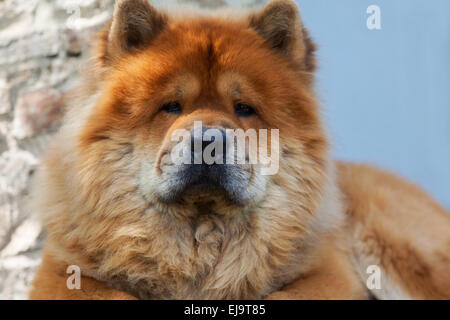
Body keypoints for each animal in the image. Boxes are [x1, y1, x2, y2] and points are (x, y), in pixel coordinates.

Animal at [29, 0, 448, 300]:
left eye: (244, 108)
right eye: (171, 107)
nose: (208, 140)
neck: (203, 237)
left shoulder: (327, 272)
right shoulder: (64, 272)